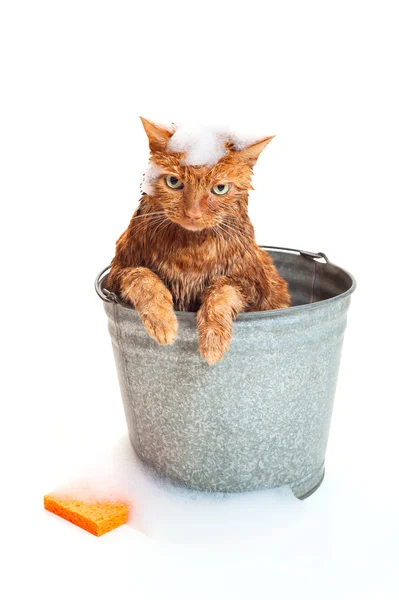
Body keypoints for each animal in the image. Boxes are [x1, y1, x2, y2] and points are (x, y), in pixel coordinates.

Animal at [104, 116, 290, 360]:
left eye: (220, 188)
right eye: (174, 182)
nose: (193, 213)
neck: (190, 253)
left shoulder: (255, 287)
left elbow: (223, 289)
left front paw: (212, 340)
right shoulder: (117, 272)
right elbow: (142, 276)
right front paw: (161, 319)